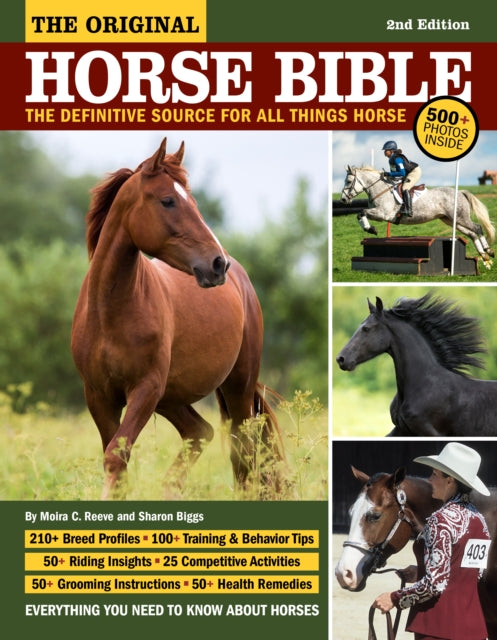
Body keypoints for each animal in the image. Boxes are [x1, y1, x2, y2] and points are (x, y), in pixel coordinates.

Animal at [71, 138, 284, 500]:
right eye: (168, 201)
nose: (217, 264)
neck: (110, 312)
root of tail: (241, 281)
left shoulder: (145, 389)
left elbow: (116, 456)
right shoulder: (99, 396)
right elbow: (117, 461)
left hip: (236, 387)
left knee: (242, 450)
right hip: (171, 397)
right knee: (201, 431)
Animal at [340, 165, 495, 268]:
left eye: (348, 182)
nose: (343, 199)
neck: (380, 189)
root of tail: (460, 192)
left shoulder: (384, 213)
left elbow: (361, 212)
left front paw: (371, 229)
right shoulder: (378, 213)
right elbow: (360, 213)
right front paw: (370, 228)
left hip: (461, 218)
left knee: (477, 228)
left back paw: (488, 251)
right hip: (452, 221)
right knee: (472, 234)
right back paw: (484, 256)